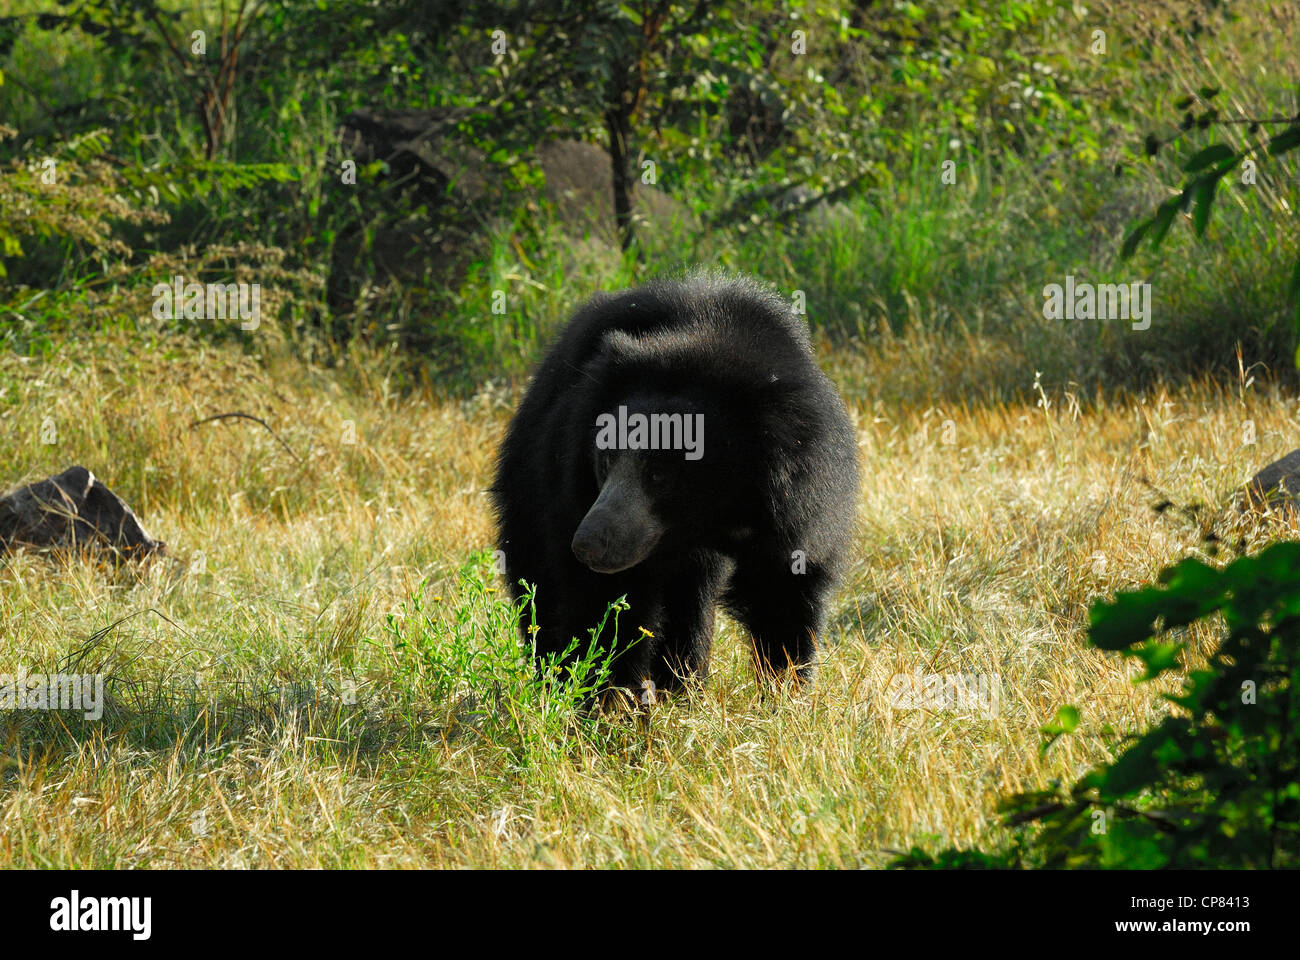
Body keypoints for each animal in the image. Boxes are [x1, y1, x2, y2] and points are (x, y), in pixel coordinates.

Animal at [491, 273, 857, 692]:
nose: (589, 544)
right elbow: (604, 604)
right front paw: (607, 695)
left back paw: (682, 684)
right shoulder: (574, 489)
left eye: (660, 475)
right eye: (606, 460)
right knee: (539, 583)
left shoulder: (801, 503)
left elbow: (784, 586)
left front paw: (786, 689)